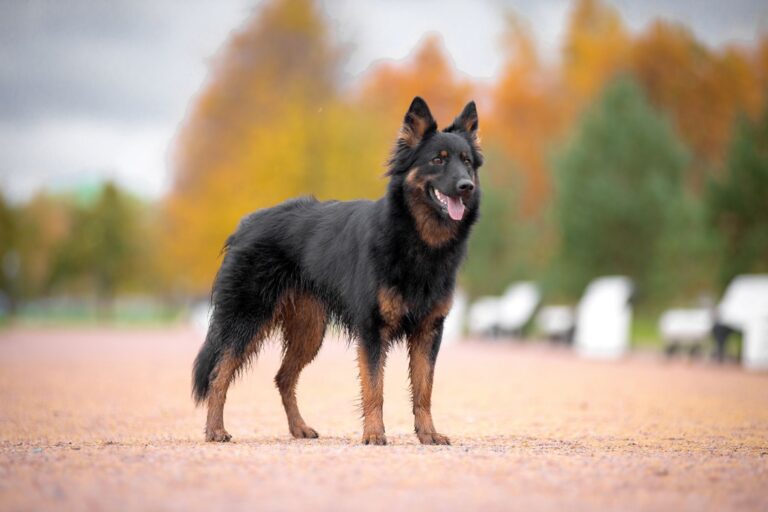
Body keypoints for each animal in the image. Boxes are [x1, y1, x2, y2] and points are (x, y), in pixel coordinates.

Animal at [192, 96, 480, 444]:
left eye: (467, 162)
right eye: (438, 160)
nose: (466, 186)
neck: (416, 239)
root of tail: (246, 224)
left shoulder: (428, 333)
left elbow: (424, 391)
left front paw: (428, 434)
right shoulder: (373, 331)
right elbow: (375, 388)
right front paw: (374, 434)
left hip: (310, 332)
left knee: (283, 378)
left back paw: (298, 428)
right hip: (246, 321)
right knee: (219, 374)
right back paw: (215, 429)